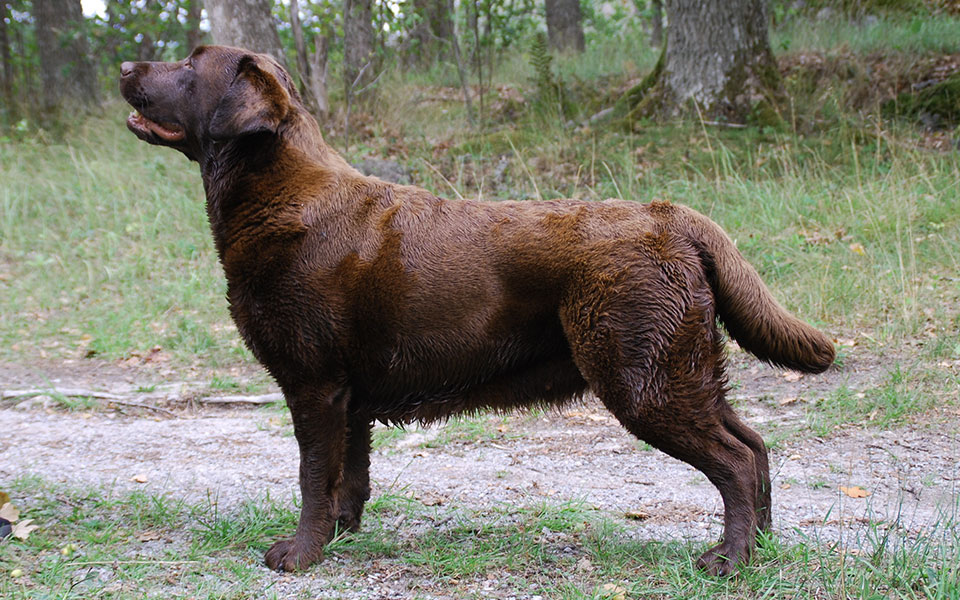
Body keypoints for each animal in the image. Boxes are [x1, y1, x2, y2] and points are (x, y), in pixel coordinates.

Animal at [118, 45, 832, 576]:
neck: (282, 194)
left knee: (735, 460)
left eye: (190, 65)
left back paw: (730, 560)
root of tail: (671, 215)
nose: (125, 67)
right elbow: (350, 475)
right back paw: (762, 547)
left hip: (642, 376)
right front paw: (344, 537)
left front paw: (300, 554)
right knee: (755, 445)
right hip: (680, 369)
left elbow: (312, 475)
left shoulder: (313, 383)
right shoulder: (349, 394)